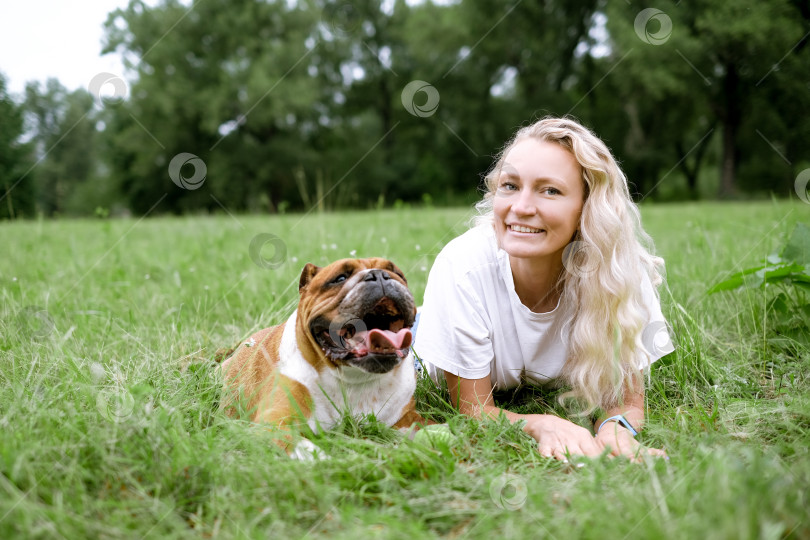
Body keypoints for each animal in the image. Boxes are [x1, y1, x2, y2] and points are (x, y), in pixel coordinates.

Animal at [221, 258, 422, 456]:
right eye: (340, 278)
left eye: (398, 274)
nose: (380, 275)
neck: (354, 378)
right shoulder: (274, 424)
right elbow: (308, 452)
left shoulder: (406, 418)